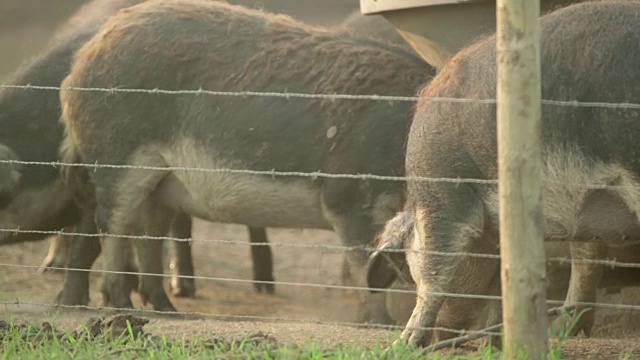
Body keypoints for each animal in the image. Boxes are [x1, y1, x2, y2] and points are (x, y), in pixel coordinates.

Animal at [58, 0, 436, 322]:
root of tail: (80, 63)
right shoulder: (350, 198)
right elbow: (364, 266)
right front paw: (381, 326)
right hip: (116, 157)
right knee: (112, 224)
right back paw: (121, 306)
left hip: (162, 183)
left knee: (148, 231)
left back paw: (168, 310)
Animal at [392, 0, 640, 348]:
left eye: (407, 264)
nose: (445, 336)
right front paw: (495, 345)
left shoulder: (442, 194)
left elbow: (434, 273)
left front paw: (402, 344)